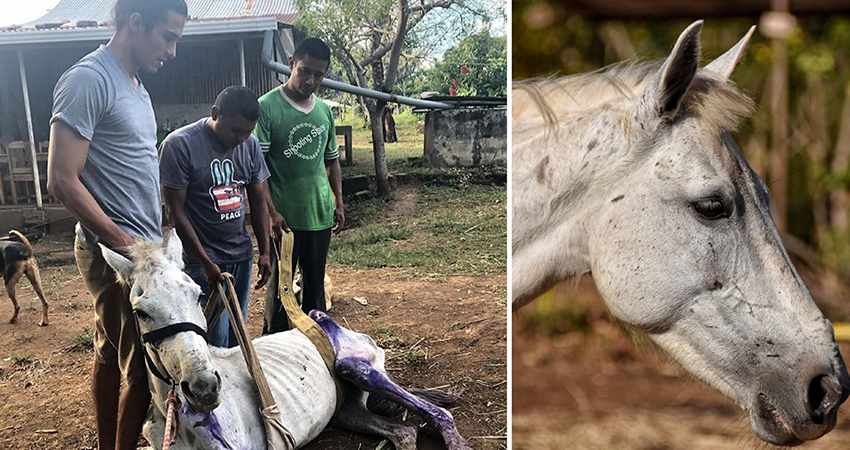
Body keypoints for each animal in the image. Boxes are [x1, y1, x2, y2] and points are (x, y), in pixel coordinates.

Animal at [102, 230, 470, 448]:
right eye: (140, 311)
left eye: (198, 294)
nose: (204, 388)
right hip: (348, 409)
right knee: (406, 430)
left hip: (354, 365)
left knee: (439, 414)